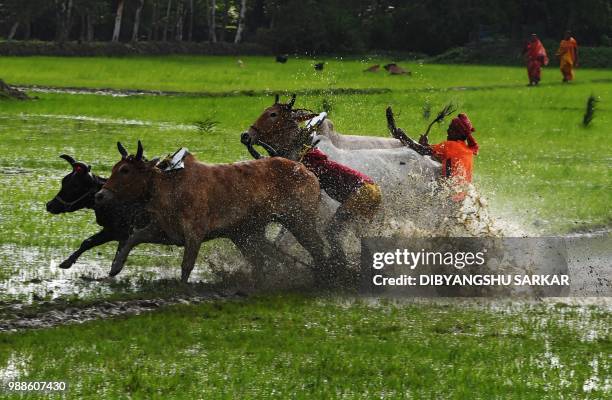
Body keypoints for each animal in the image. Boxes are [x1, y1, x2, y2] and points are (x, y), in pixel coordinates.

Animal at [95, 142, 328, 282]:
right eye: (115, 167)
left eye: (125, 170)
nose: (99, 195)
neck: (167, 185)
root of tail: (307, 172)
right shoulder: (166, 231)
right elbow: (133, 238)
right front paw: (115, 268)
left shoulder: (195, 234)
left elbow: (186, 265)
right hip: (245, 235)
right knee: (266, 258)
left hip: (299, 221)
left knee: (317, 248)